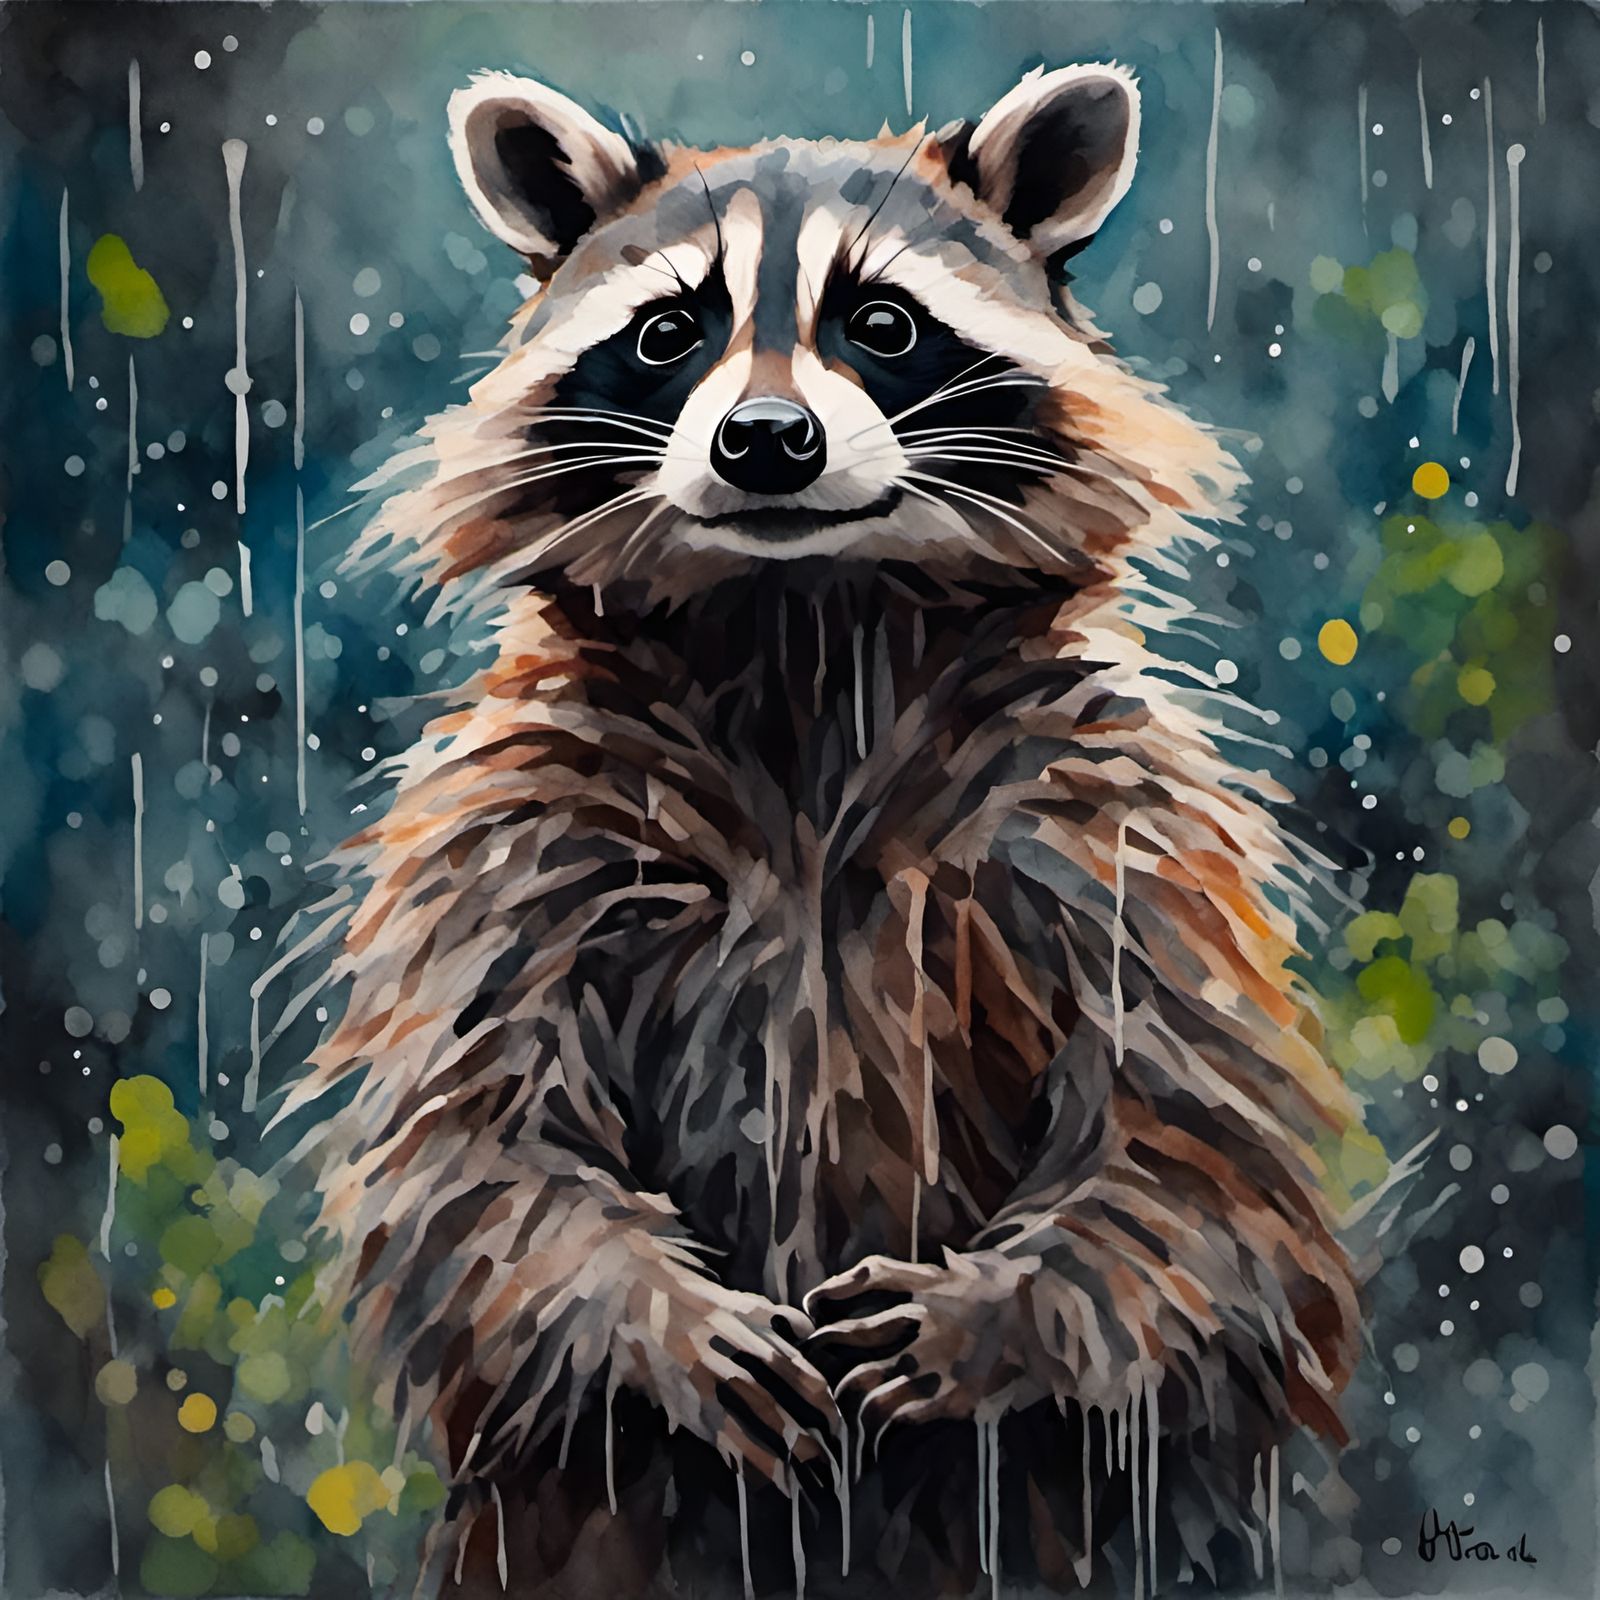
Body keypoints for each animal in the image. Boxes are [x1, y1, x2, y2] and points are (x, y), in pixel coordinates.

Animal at [286, 63, 1370, 1598]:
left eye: (884, 323)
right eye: (668, 333)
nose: (766, 442)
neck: (806, 628)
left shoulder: (1111, 818)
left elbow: (1195, 1162)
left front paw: (996, 1321)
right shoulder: (518, 829)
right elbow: (475, 1151)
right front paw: (658, 1325)